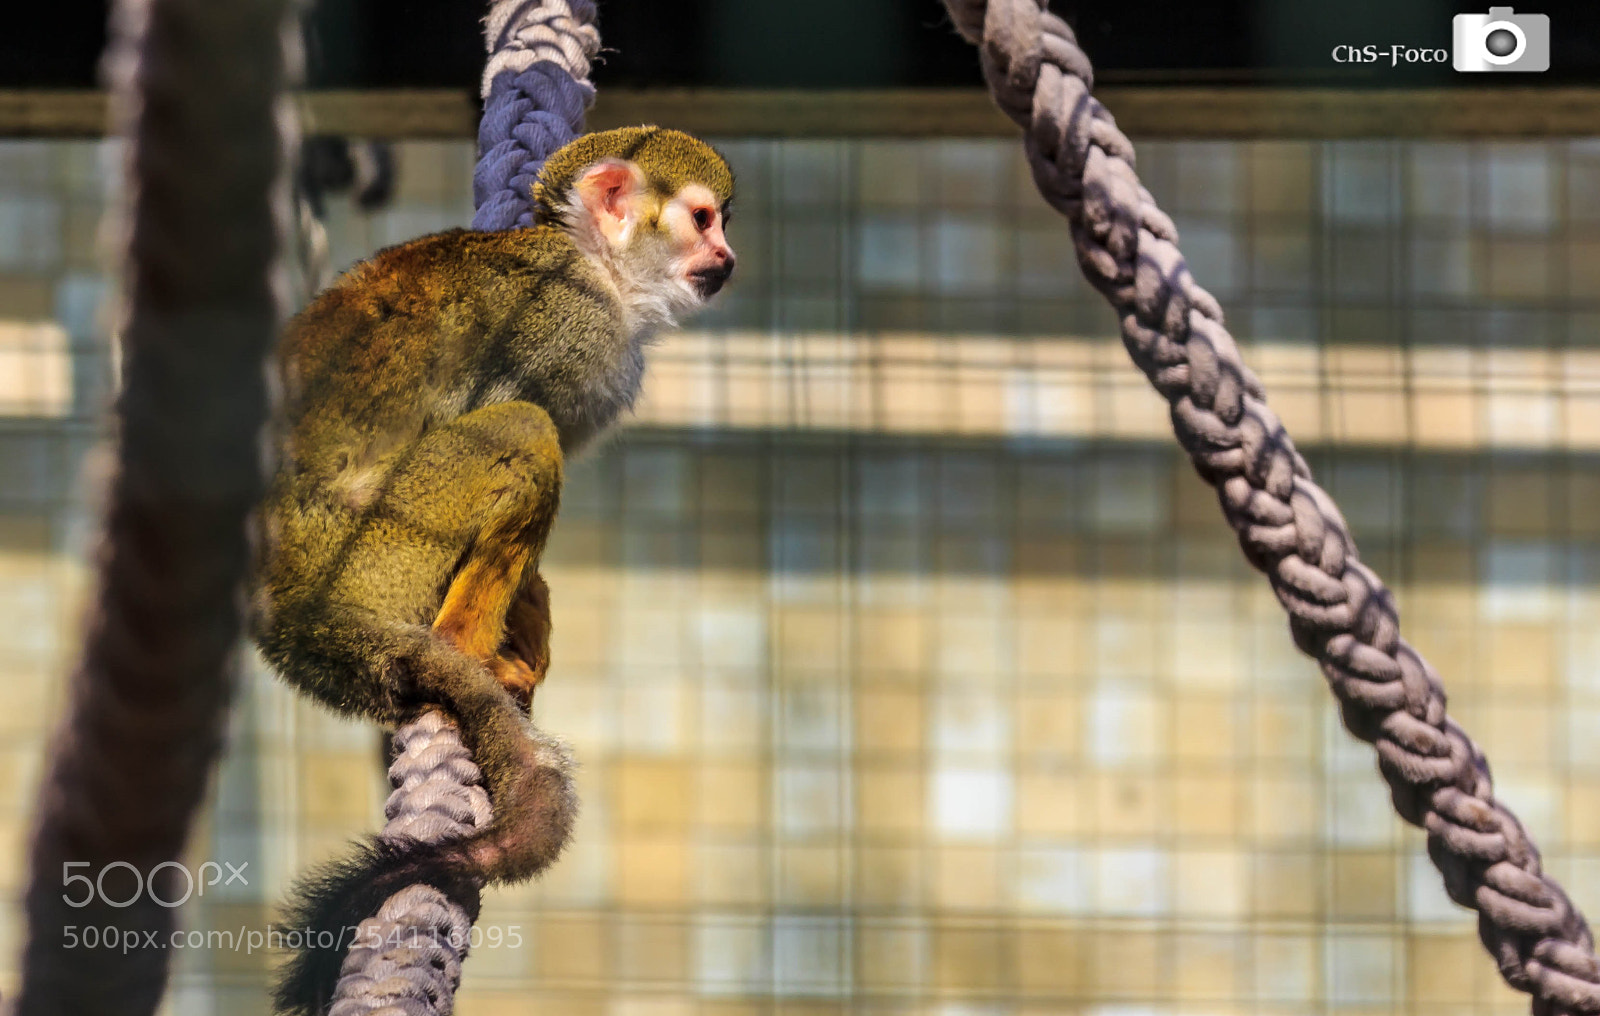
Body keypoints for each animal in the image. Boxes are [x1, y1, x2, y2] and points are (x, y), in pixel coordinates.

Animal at [249, 126, 735, 1015]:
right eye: (703, 219)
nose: (727, 256)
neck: (588, 261)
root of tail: (290, 617)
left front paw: (533, 604)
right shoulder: (569, 327)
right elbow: (508, 403)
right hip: (377, 555)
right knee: (521, 427)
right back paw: (468, 645)